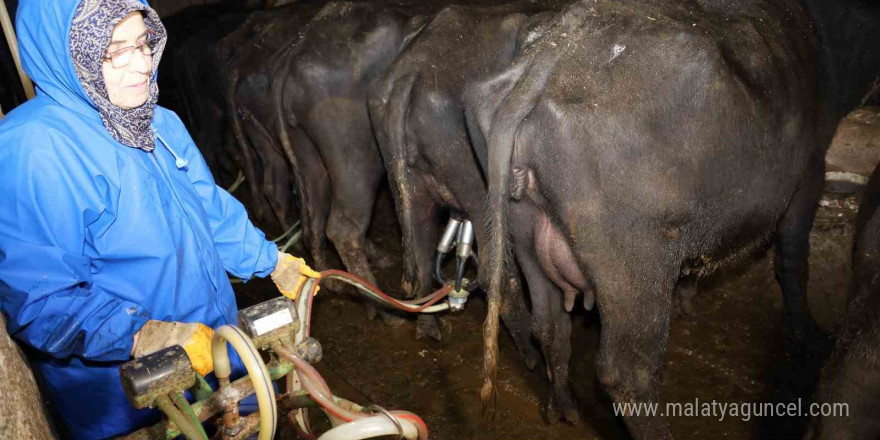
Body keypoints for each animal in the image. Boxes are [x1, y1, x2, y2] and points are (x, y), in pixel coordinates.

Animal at [474, 0, 880, 434]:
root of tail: (553, 52)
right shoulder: (809, 170)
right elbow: (793, 259)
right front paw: (806, 333)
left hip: (525, 232)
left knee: (549, 326)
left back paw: (564, 408)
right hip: (634, 266)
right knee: (627, 373)